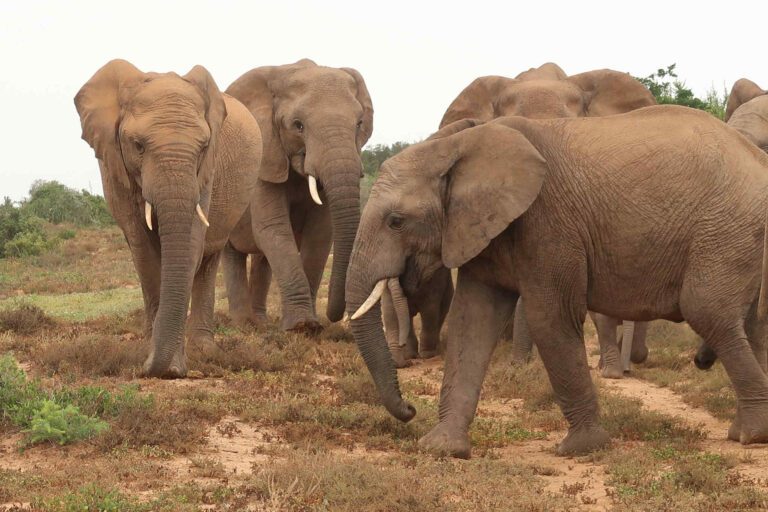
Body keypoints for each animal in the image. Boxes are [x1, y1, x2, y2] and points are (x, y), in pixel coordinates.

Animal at [75, 60, 262, 378]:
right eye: (138, 145)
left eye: (203, 147)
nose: (150, 368)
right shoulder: (114, 166)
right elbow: (144, 252)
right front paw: (152, 354)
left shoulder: (206, 171)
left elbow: (192, 244)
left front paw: (173, 364)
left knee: (209, 259)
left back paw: (204, 348)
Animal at [221, 59, 372, 331]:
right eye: (298, 125)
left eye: (359, 124)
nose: (336, 317)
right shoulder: (265, 156)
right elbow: (272, 227)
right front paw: (301, 326)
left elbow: (320, 233)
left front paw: (311, 328)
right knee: (231, 252)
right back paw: (243, 325)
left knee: (262, 258)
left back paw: (261, 324)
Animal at [346, 107, 768, 459]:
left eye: (396, 221)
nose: (409, 408)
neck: (458, 144)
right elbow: (472, 321)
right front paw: (442, 449)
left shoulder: (548, 223)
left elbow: (549, 317)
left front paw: (582, 449)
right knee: (751, 327)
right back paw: (746, 431)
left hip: (724, 228)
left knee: (708, 312)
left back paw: (751, 436)